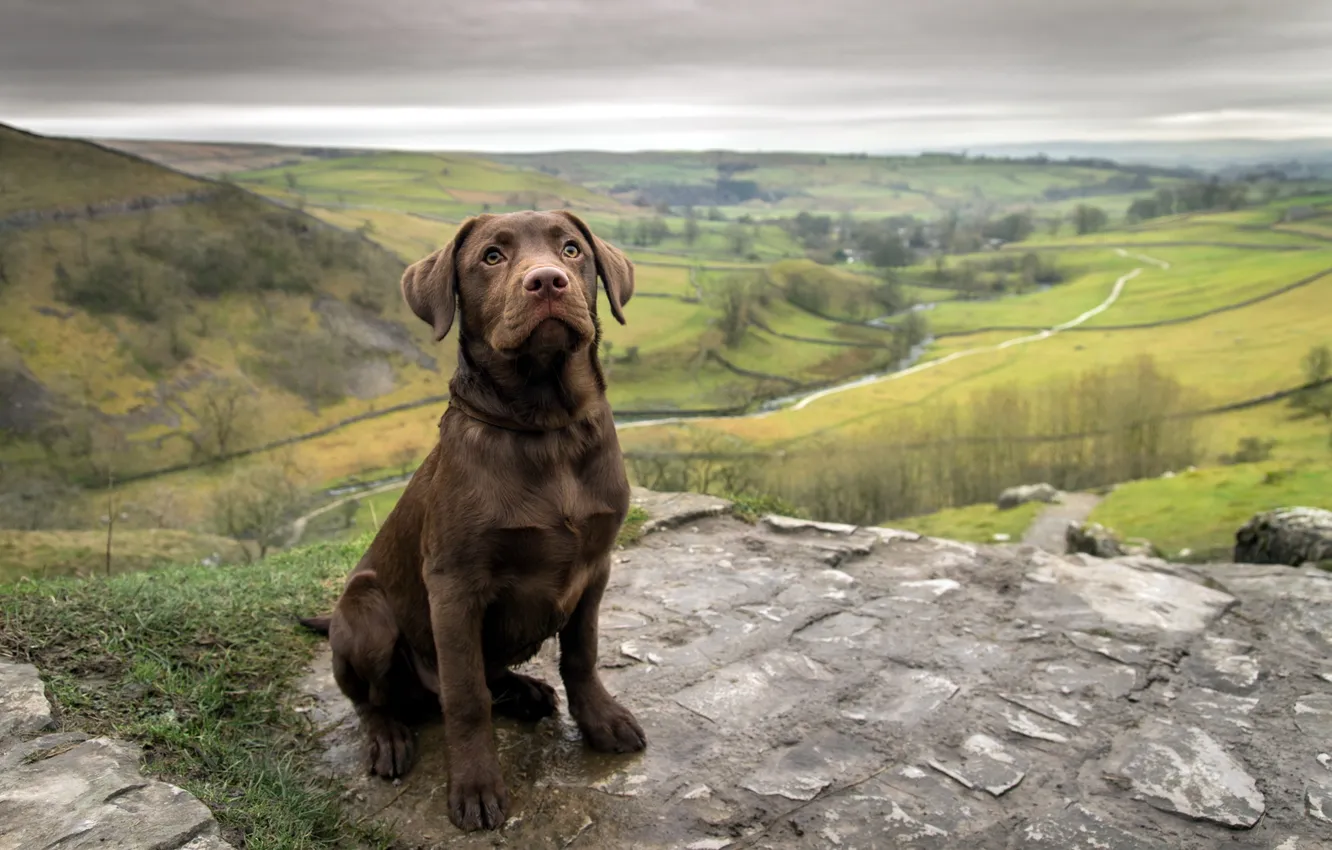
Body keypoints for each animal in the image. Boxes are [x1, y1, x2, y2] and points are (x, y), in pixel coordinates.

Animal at [299, 211, 642, 831]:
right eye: (491, 257)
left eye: (572, 250)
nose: (547, 281)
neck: (545, 427)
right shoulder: (454, 587)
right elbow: (465, 698)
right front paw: (476, 787)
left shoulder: (597, 566)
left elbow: (581, 654)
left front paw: (601, 721)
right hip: (366, 610)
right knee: (373, 698)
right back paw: (389, 735)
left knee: (487, 674)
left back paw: (524, 691)